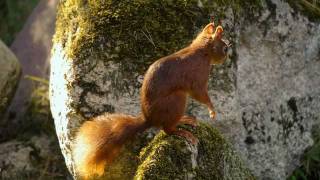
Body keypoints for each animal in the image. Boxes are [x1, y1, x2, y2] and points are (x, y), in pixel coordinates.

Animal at [74, 21, 230, 179]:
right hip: (177, 100)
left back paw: (183, 120)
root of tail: (150, 119)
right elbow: (199, 93)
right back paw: (183, 132)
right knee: (167, 129)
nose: (225, 59)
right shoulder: (198, 75)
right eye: (225, 48)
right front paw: (212, 110)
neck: (201, 50)